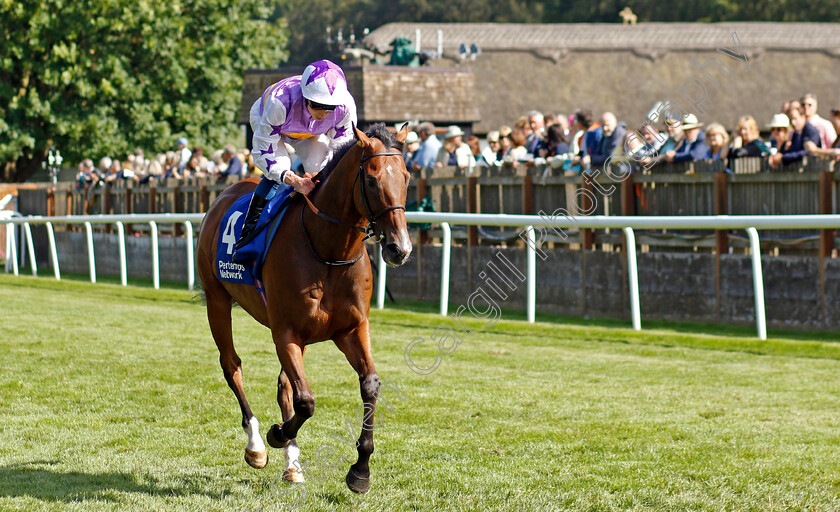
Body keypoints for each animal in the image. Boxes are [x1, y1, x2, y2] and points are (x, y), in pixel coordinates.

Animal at [194, 123, 410, 492]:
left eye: (407, 177)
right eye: (371, 179)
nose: (400, 249)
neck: (329, 251)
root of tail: (226, 193)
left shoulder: (351, 329)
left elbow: (369, 384)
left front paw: (361, 470)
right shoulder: (286, 332)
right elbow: (306, 401)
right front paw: (277, 435)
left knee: (284, 385)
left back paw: (292, 465)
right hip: (218, 300)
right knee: (232, 366)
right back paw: (256, 445)